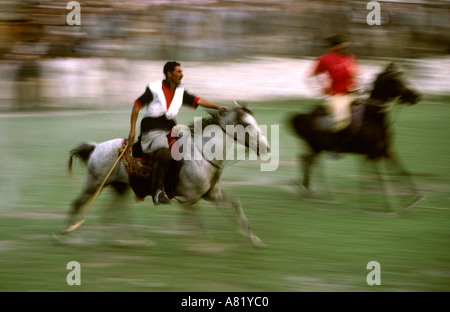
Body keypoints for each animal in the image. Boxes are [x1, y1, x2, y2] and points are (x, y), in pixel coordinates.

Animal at [64, 106, 268, 247]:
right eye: (246, 125)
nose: (266, 147)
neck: (202, 154)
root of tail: (95, 147)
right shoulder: (189, 198)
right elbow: (196, 222)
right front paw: (205, 246)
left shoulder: (211, 195)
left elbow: (235, 206)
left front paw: (254, 239)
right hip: (94, 183)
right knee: (77, 205)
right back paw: (68, 237)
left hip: (119, 187)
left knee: (110, 214)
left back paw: (128, 242)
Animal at [290, 63, 424, 212]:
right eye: (396, 81)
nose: (415, 96)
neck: (374, 119)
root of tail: (307, 115)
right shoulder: (373, 154)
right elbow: (380, 177)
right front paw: (388, 207)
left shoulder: (387, 151)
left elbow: (403, 170)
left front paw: (415, 199)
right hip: (315, 147)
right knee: (307, 160)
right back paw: (308, 190)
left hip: (317, 148)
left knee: (308, 160)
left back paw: (316, 191)